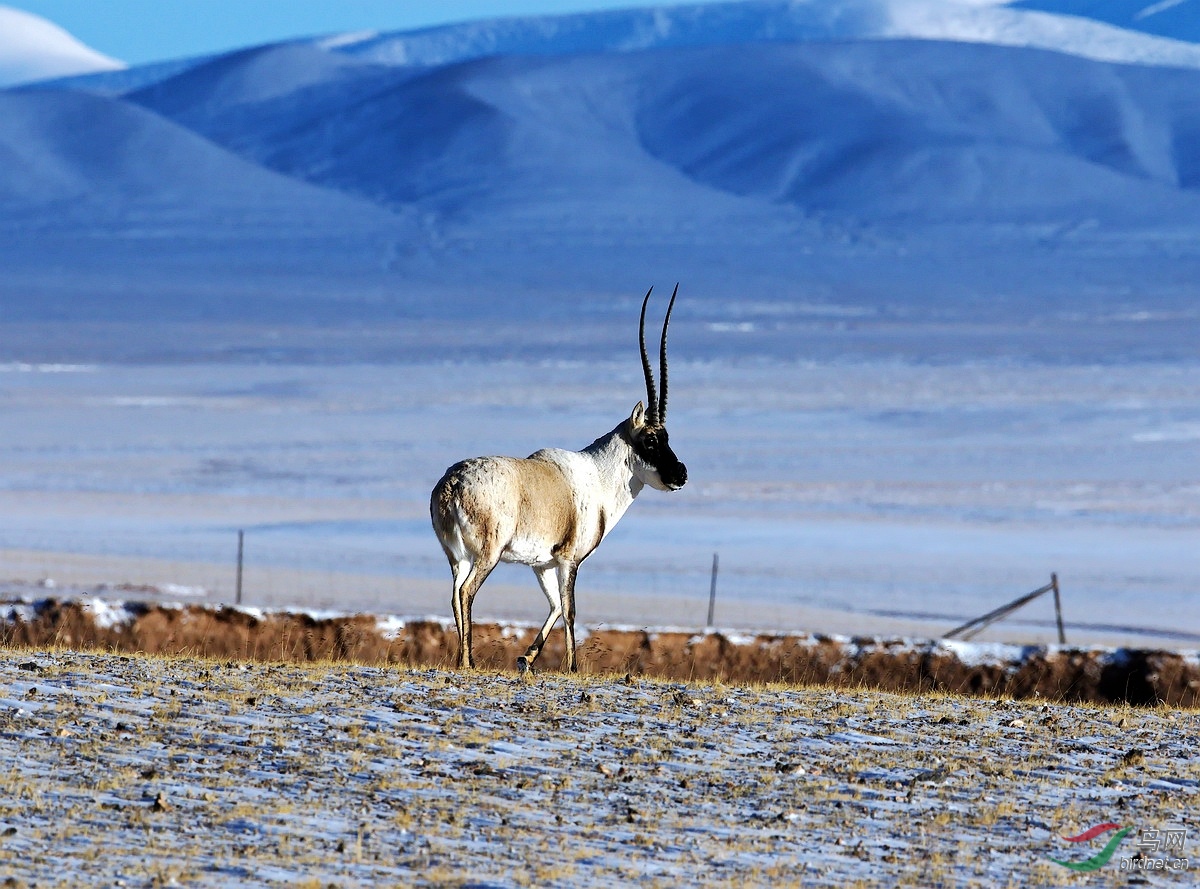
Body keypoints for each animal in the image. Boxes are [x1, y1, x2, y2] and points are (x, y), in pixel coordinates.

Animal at [434, 287, 691, 667]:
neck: (597, 476)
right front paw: (571, 666)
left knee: (454, 593)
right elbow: (570, 610)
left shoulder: (542, 563)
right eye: (650, 440)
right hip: (488, 554)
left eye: (667, 437)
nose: (681, 474)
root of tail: (452, 485)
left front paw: (527, 658)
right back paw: (469, 661)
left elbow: (554, 606)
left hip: (458, 557)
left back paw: (461, 660)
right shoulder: (570, 560)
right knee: (467, 591)